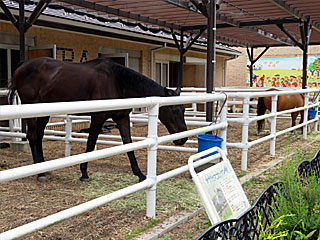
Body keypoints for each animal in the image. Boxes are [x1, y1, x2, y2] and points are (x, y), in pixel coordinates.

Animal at [8, 57, 189, 182]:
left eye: (183, 109)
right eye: (174, 109)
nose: (183, 138)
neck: (117, 82)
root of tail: (22, 65)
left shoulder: (122, 118)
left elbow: (128, 144)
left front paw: (140, 174)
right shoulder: (98, 117)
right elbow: (90, 143)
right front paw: (84, 173)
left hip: (45, 112)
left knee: (38, 136)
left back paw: (43, 169)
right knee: (32, 136)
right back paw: (40, 173)